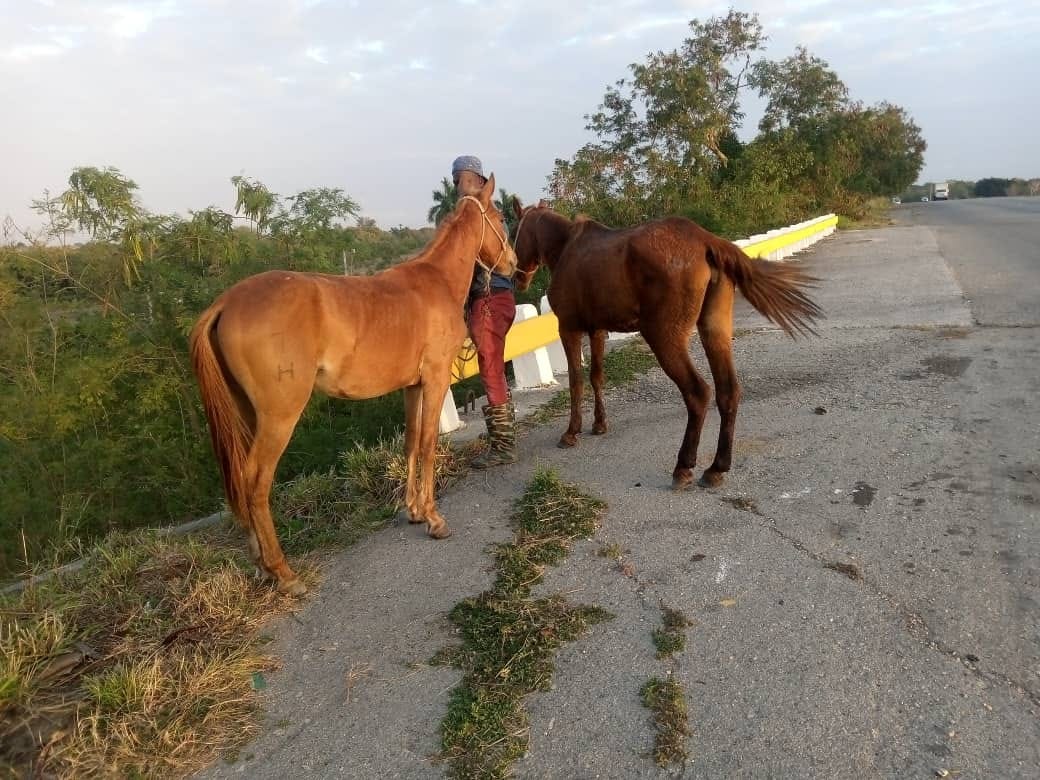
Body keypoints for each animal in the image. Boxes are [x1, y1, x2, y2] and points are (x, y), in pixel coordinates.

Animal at [189, 175, 515, 596]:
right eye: (501, 217)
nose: (513, 264)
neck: (436, 281)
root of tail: (226, 302)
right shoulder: (436, 378)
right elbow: (428, 444)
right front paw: (433, 518)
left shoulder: (412, 386)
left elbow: (411, 442)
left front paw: (412, 510)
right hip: (280, 416)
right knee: (255, 481)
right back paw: (283, 573)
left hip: (248, 413)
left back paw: (261, 566)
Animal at [511, 198, 822, 491]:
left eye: (515, 232)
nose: (518, 277)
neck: (567, 247)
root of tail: (706, 240)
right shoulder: (597, 330)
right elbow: (597, 377)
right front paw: (599, 424)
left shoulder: (569, 329)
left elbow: (576, 380)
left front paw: (571, 432)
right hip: (715, 331)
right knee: (728, 392)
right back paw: (716, 468)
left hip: (663, 338)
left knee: (698, 393)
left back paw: (684, 466)